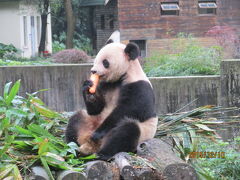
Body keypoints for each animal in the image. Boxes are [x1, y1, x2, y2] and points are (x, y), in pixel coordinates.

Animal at [65, 32, 158, 160]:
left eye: (105, 62)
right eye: (95, 60)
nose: (93, 71)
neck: (123, 75)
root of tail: (91, 145)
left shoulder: (139, 87)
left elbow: (130, 109)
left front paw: (98, 134)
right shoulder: (105, 85)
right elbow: (96, 108)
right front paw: (88, 90)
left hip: (141, 133)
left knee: (127, 130)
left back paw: (101, 153)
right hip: (89, 121)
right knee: (77, 118)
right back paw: (71, 148)